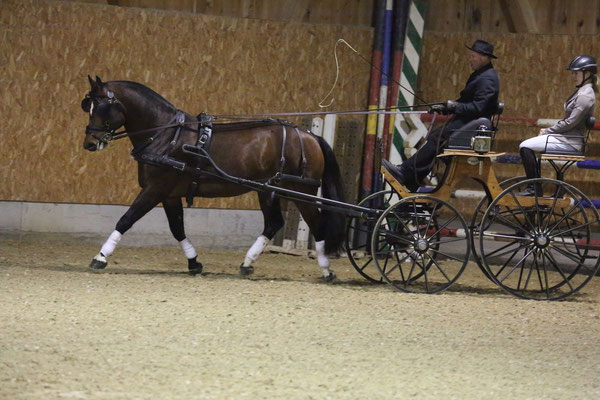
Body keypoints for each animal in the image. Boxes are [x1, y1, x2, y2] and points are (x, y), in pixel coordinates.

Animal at [78, 76, 346, 282]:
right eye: (88, 106)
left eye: (100, 108)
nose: (89, 143)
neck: (166, 134)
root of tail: (309, 135)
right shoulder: (169, 195)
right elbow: (177, 228)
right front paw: (194, 262)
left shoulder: (155, 189)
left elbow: (126, 219)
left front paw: (100, 257)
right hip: (267, 190)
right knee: (273, 223)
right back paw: (247, 263)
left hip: (301, 191)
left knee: (315, 224)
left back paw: (326, 270)